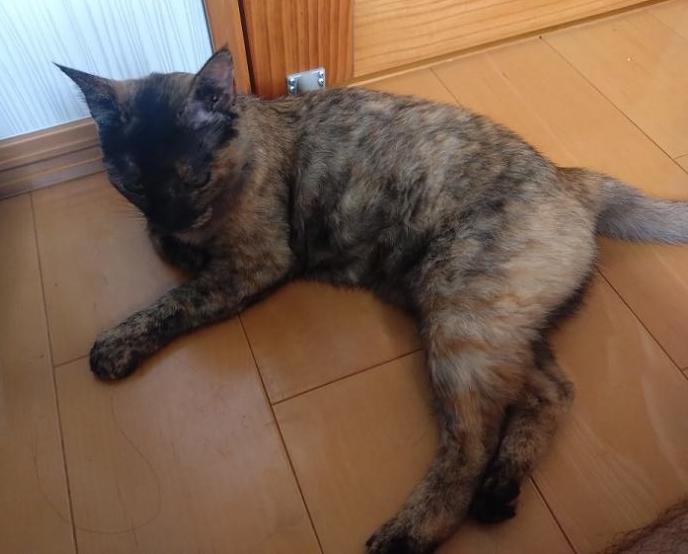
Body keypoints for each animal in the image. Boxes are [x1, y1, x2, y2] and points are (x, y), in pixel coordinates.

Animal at [58, 49, 688, 553]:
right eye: (133, 185)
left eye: (195, 179)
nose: (172, 217)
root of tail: (570, 178)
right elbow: (170, 256)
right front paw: (165, 241)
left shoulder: (254, 264)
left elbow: (174, 301)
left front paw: (118, 341)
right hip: (493, 324)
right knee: (551, 393)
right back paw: (502, 488)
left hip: (459, 320)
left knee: (471, 444)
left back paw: (413, 531)